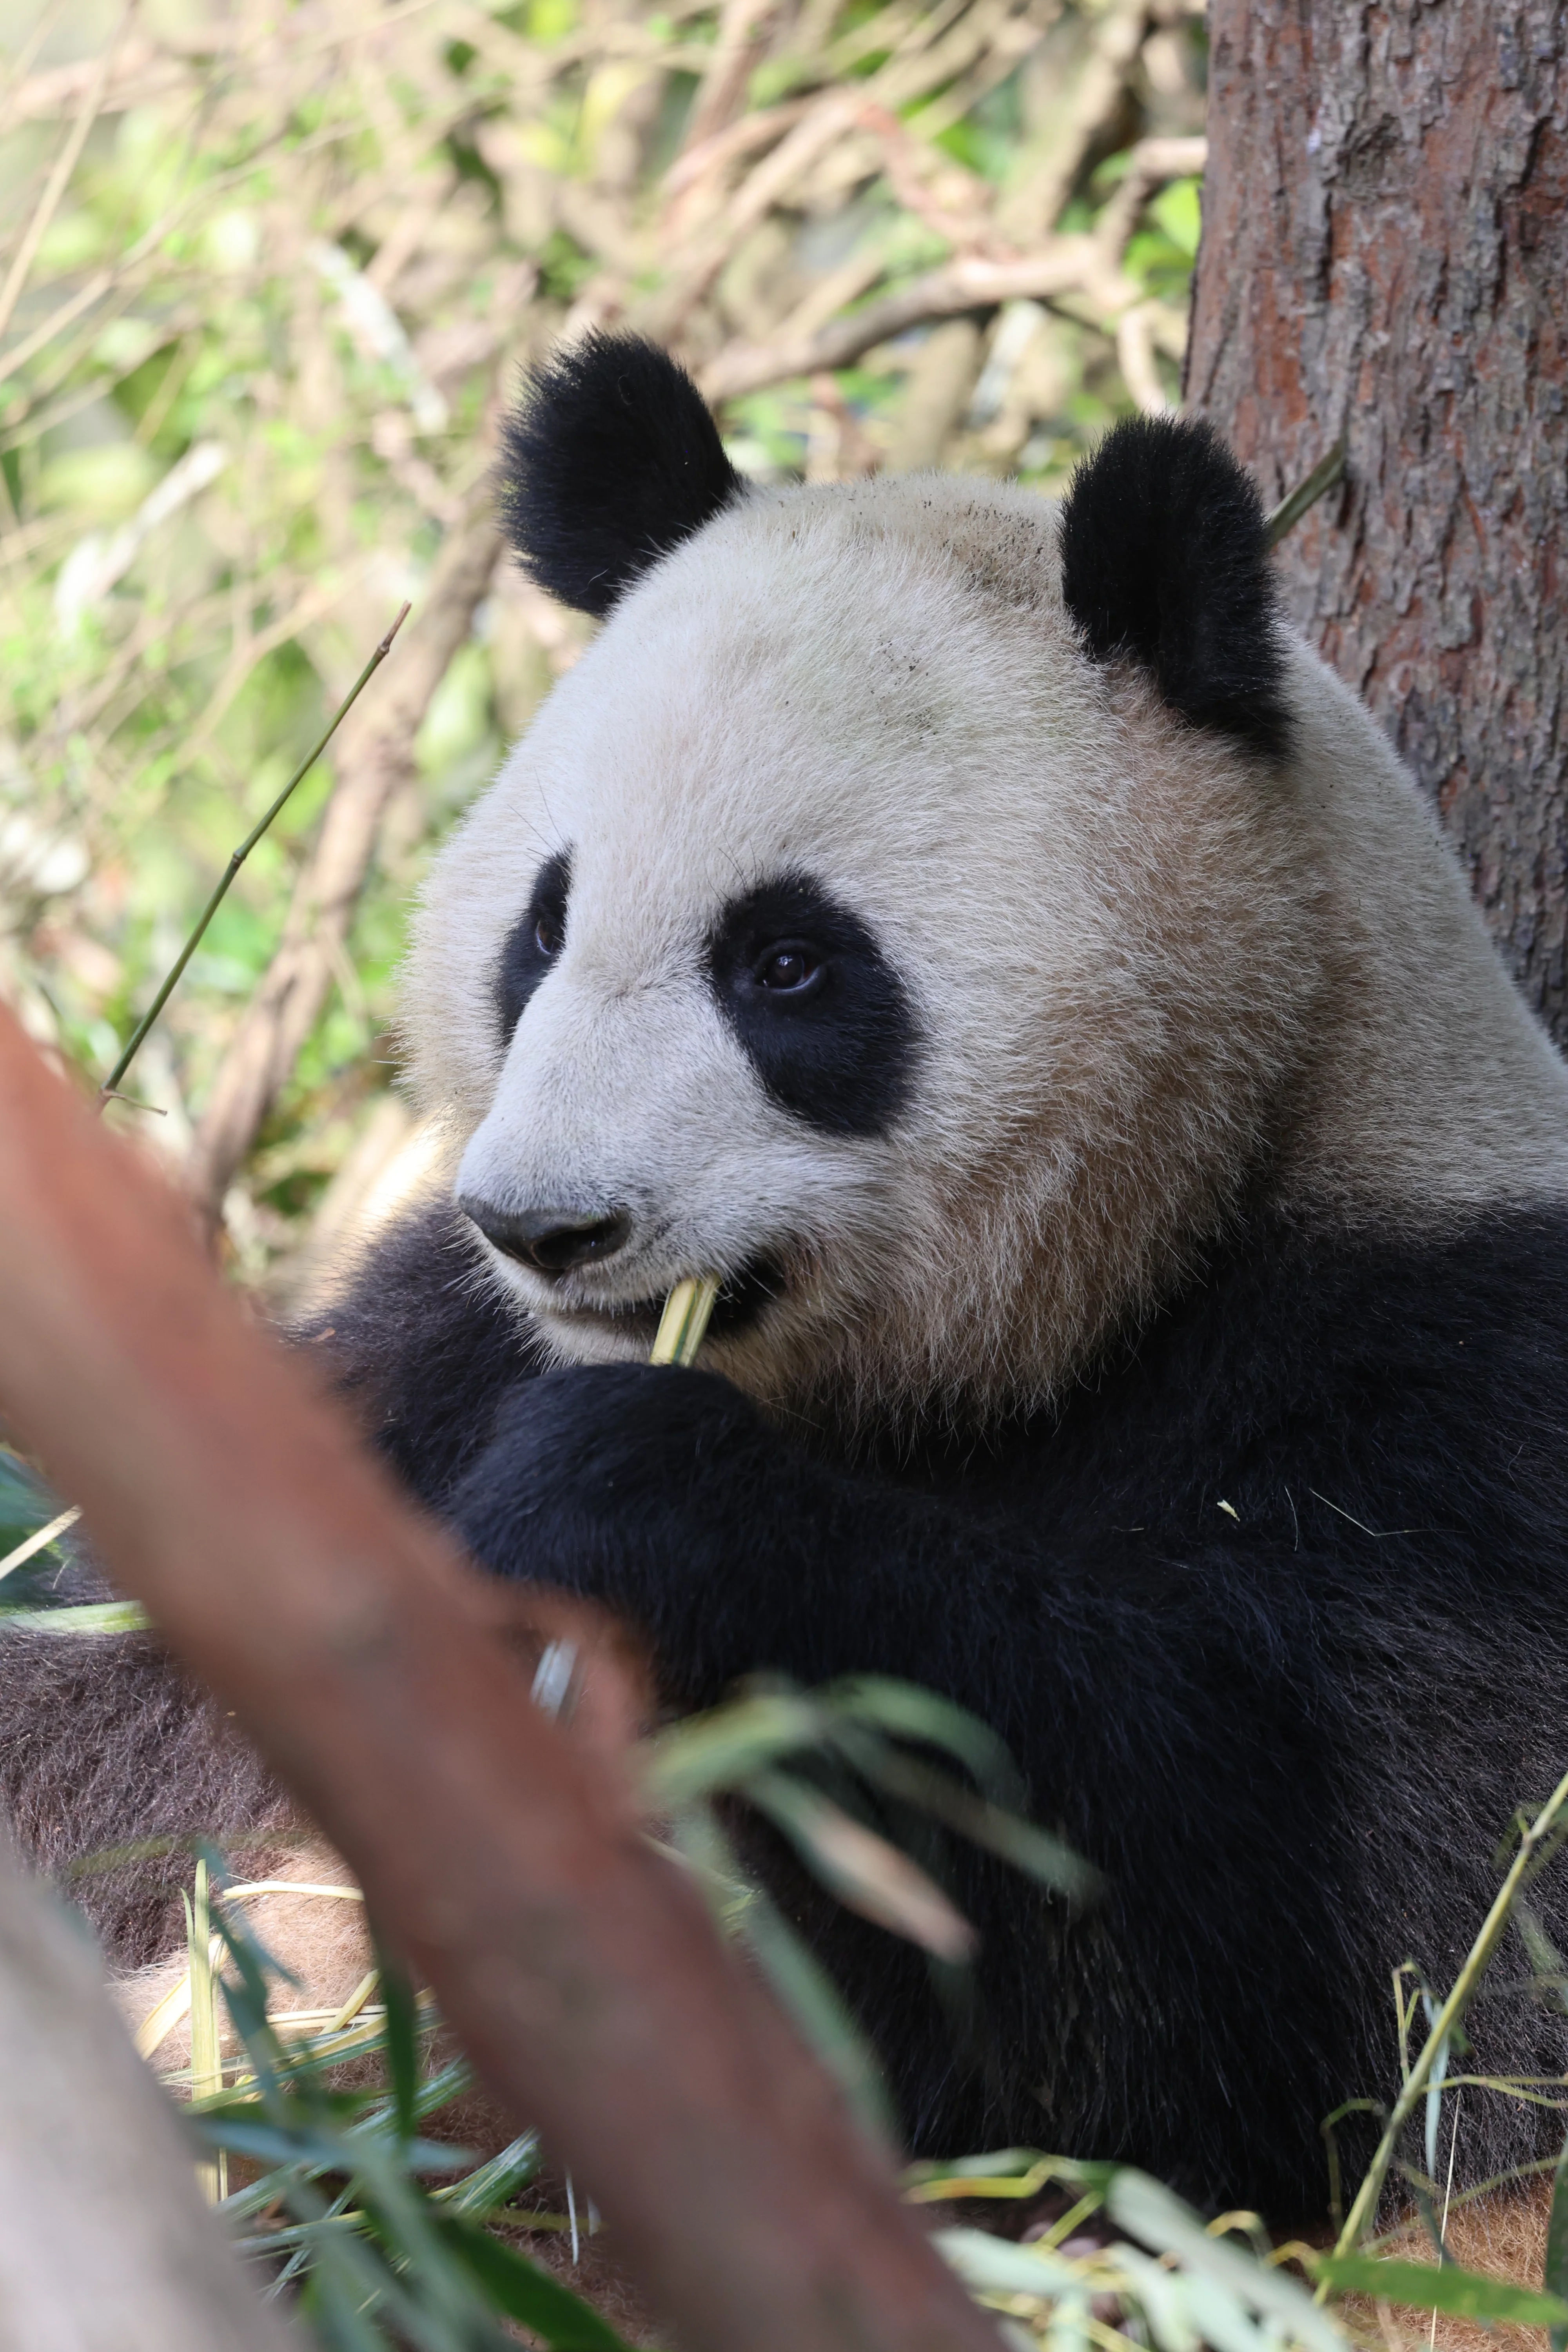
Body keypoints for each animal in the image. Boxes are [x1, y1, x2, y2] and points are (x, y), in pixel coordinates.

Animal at [8, 332, 1568, 2222]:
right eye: (542, 925)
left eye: (787, 964)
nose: (550, 1226)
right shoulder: (415, 1355)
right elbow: (117, 1717)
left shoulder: (1436, 1393)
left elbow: (1323, 1991)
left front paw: (626, 1504)